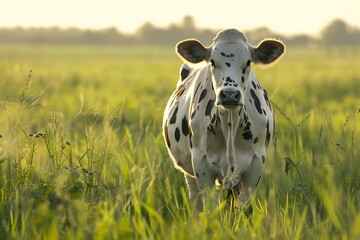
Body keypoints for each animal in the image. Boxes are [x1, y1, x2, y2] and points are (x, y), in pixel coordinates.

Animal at [162, 29, 284, 211]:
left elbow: (242, 209)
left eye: (248, 62)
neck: (230, 124)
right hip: (189, 173)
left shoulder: (256, 164)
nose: (230, 95)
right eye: (212, 61)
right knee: (195, 199)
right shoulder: (201, 163)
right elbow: (210, 209)